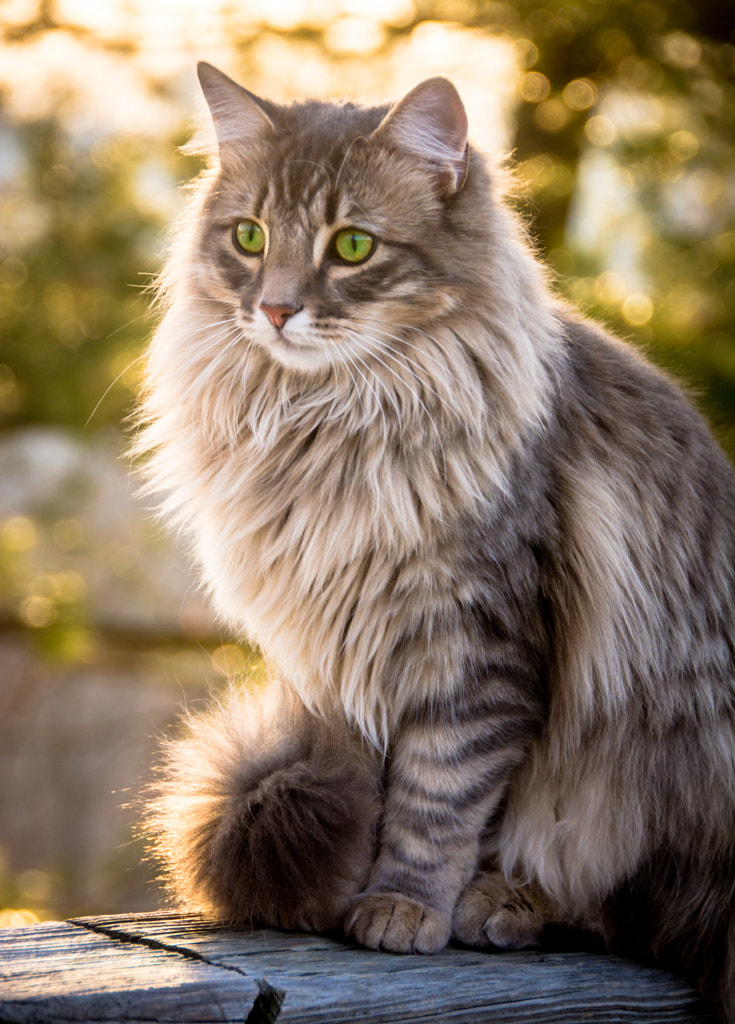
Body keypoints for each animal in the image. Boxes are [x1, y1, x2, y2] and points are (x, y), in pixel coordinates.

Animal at [137, 61, 735, 1015]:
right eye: (249, 237)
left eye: (352, 247)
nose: (274, 309)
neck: (327, 422)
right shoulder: (340, 658)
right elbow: (378, 788)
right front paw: (342, 896)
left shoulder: (479, 647)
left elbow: (441, 799)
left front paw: (404, 905)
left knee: (625, 902)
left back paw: (509, 903)